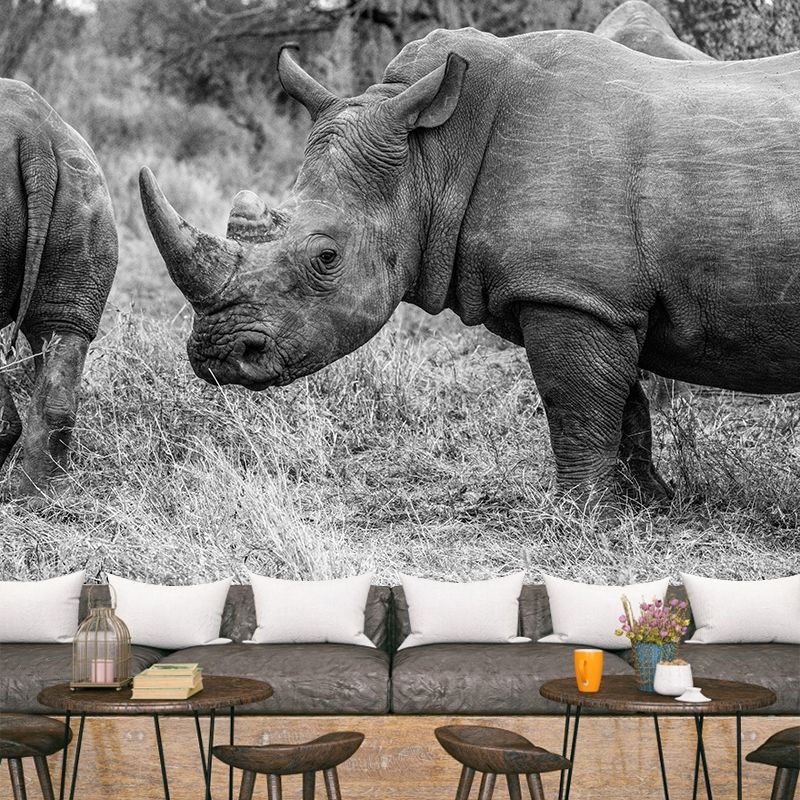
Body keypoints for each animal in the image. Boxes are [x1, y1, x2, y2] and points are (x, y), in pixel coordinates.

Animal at [140, 24, 800, 505]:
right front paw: (650, 502)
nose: (218, 357)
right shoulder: (597, 296)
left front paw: (586, 515)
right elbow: (624, 402)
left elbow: (577, 401)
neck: (432, 157)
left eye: (326, 257)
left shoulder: (569, 292)